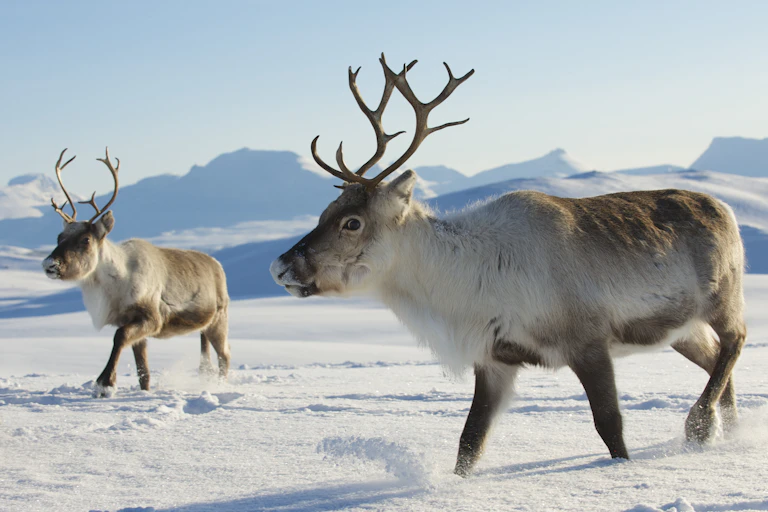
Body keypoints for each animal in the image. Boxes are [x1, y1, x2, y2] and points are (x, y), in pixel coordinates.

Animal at [42, 148, 230, 398]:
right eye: (59, 237)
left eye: (86, 239)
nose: (50, 264)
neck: (116, 284)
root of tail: (217, 265)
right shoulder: (132, 323)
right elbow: (143, 371)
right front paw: (141, 391)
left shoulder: (151, 318)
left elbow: (119, 337)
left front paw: (105, 383)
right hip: (206, 326)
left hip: (219, 318)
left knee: (225, 356)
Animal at [270, 54, 747, 476]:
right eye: (324, 212)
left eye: (352, 222)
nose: (280, 266)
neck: (464, 282)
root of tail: (724, 208)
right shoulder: (495, 359)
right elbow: (469, 442)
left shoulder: (587, 341)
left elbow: (610, 426)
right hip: (680, 329)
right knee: (715, 361)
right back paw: (731, 434)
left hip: (722, 297)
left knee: (734, 341)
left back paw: (700, 426)